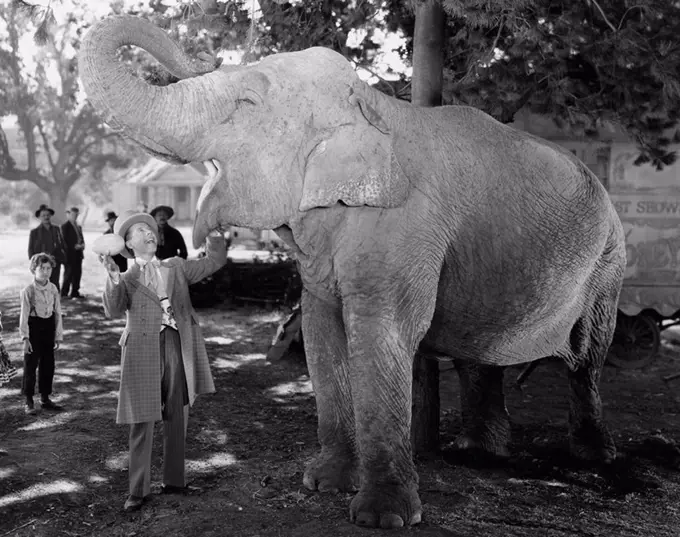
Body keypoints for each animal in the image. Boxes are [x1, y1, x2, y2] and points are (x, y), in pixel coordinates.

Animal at [78, 15, 628, 528]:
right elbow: (321, 331)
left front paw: (382, 517)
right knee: (480, 350)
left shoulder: (406, 226)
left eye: (247, 102)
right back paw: (478, 451)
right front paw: (322, 483)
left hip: (608, 264)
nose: (204, 52)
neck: (372, 102)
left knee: (586, 357)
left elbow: (382, 333)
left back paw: (594, 458)